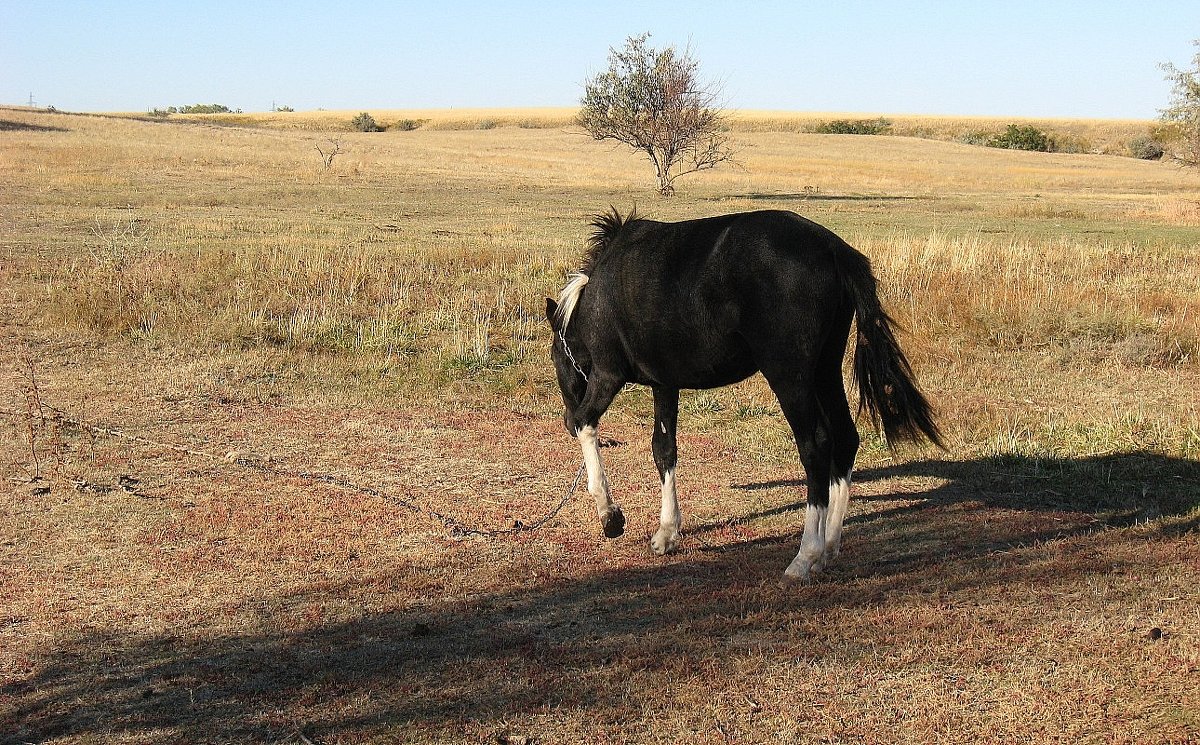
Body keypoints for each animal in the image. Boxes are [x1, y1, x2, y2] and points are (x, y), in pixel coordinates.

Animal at [547, 207, 945, 580]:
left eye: (555, 355)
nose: (563, 420)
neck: (601, 291)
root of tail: (834, 249)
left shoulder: (607, 376)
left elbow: (587, 424)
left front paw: (610, 516)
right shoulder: (665, 384)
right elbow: (664, 451)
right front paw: (666, 533)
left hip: (790, 376)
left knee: (815, 445)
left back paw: (805, 556)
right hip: (825, 369)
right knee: (846, 439)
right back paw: (828, 549)